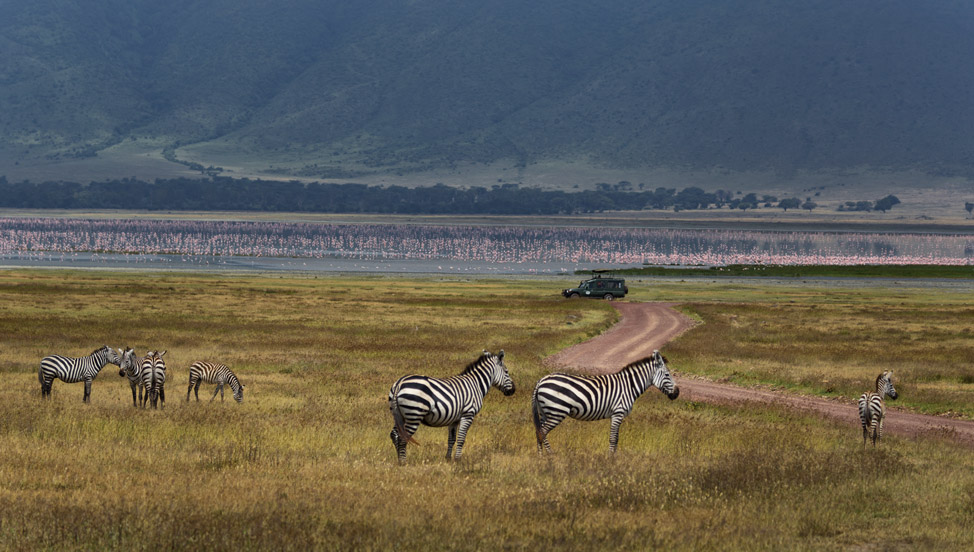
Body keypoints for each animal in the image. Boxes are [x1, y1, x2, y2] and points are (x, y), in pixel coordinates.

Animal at [386, 352, 516, 464]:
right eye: (506, 371)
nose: (513, 390)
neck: (476, 384)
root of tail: (399, 383)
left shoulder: (454, 419)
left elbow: (451, 439)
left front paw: (448, 459)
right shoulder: (468, 415)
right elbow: (461, 438)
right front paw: (458, 460)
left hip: (400, 416)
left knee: (394, 434)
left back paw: (399, 459)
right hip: (414, 415)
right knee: (403, 438)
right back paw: (403, 462)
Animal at [528, 350, 684, 452]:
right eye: (667, 375)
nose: (677, 393)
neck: (629, 385)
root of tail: (541, 381)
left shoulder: (617, 415)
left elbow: (616, 439)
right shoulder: (618, 413)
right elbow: (613, 439)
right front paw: (611, 460)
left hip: (545, 412)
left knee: (539, 431)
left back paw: (544, 456)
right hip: (557, 411)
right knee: (542, 432)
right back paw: (548, 458)